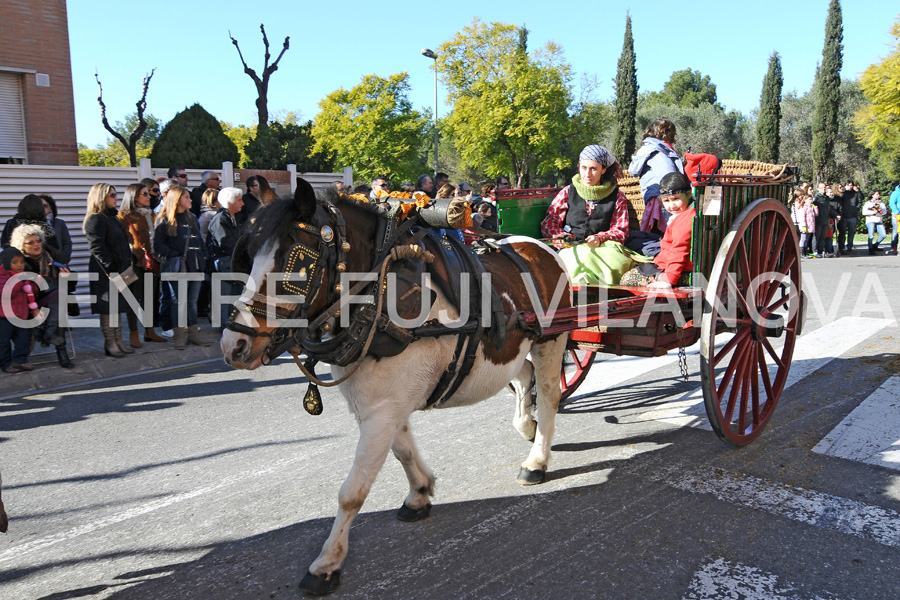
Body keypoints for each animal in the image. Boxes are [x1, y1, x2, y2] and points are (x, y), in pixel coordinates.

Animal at [220, 179, 568, 596]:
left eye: (295, 261)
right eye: (249, 256)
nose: (234, 345)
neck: (377, 297)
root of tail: (543, 248)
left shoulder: (381, 411)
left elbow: (352, 492)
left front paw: (327, 564)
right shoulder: (381, 405)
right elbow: (402, 450)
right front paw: (420, 493)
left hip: (551, 341)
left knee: (548, 395)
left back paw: (537, 459)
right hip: (512, 347)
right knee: (521, 376)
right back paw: (526, 426)